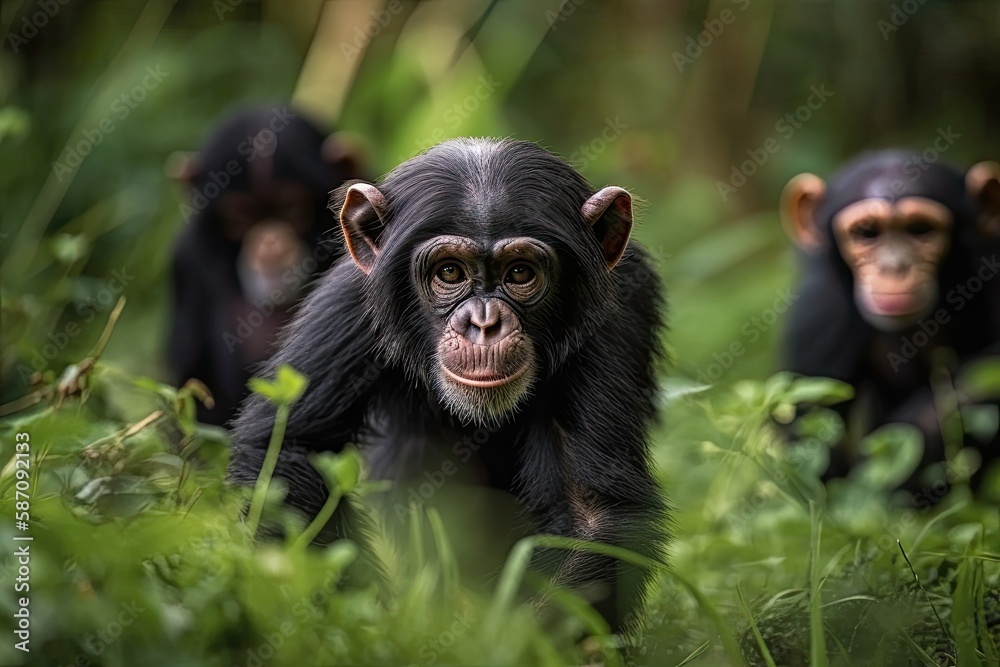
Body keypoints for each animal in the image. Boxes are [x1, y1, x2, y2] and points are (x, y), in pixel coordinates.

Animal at [229, 138, 668, 636]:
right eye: (450, 273)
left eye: (520, 273)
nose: (484, 323)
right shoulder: (348, 300)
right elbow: (291, 447)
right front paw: (360, 628)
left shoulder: (613, 314)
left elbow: (592, 513)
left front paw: (512, 641)